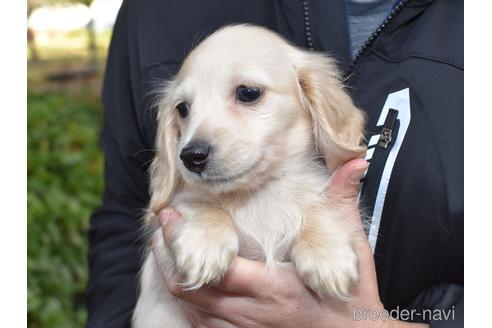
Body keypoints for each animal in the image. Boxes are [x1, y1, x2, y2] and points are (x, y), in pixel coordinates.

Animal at [133, 24, 368, 326]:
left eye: (247, 92)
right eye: (182, 108)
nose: (191, 157)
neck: (257, 194)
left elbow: (316, 208)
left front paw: (326, 251)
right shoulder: (165, 235)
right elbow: (196, 203)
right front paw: (206, 241)